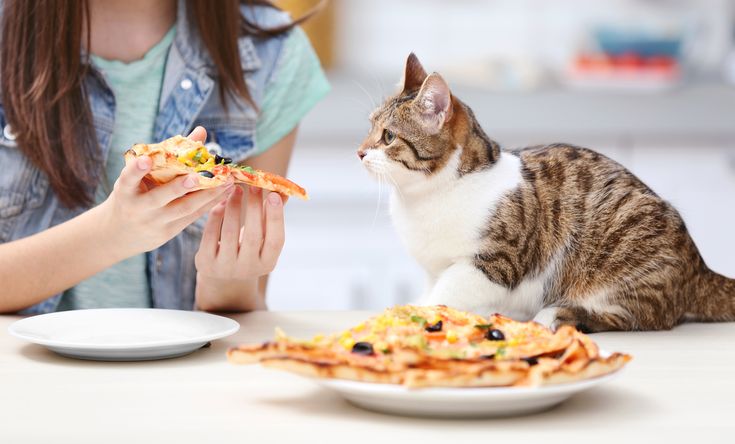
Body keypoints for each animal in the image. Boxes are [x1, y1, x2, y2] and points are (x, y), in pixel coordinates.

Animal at [358, 53, 735, 332]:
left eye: (388, 136)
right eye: (370, 127)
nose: (359, 152)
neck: (425, 198)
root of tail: (699, 267)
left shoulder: (496, 262)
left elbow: (447, 291)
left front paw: (415, 315)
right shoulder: (433, 268)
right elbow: (433, 288)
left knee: (637, 317)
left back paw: (560, 314)